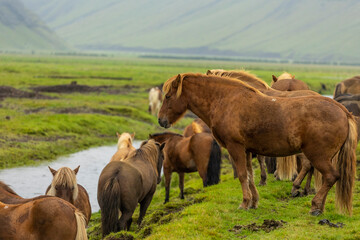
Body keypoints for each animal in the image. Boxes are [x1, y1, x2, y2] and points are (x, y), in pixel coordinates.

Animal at [158, 73, 358, 216]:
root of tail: (343, 111)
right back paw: (317, 205)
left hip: (318, 156)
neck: (225, 100)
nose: (161, 120)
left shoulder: (236, 148)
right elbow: (250, 176)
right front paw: (254, 202)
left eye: (167, 96)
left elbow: (241, 175)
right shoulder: (247, 150)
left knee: (331, 176)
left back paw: (314, 206)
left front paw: (244, 203)